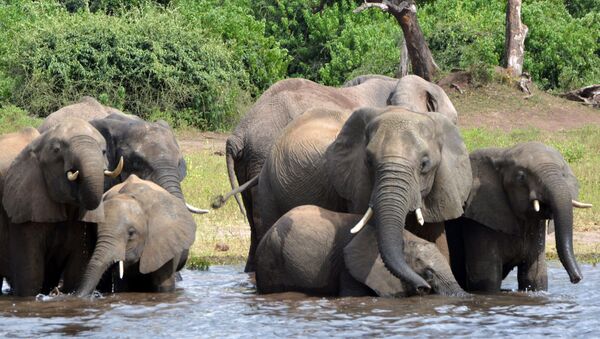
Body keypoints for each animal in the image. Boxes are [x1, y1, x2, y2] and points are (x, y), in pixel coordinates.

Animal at [446, 142, 592, 294]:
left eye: (563, 174)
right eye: (521, 177)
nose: (576, 279)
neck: (503, 153)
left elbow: (534, 276)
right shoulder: (478, 219)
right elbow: (486, 279)